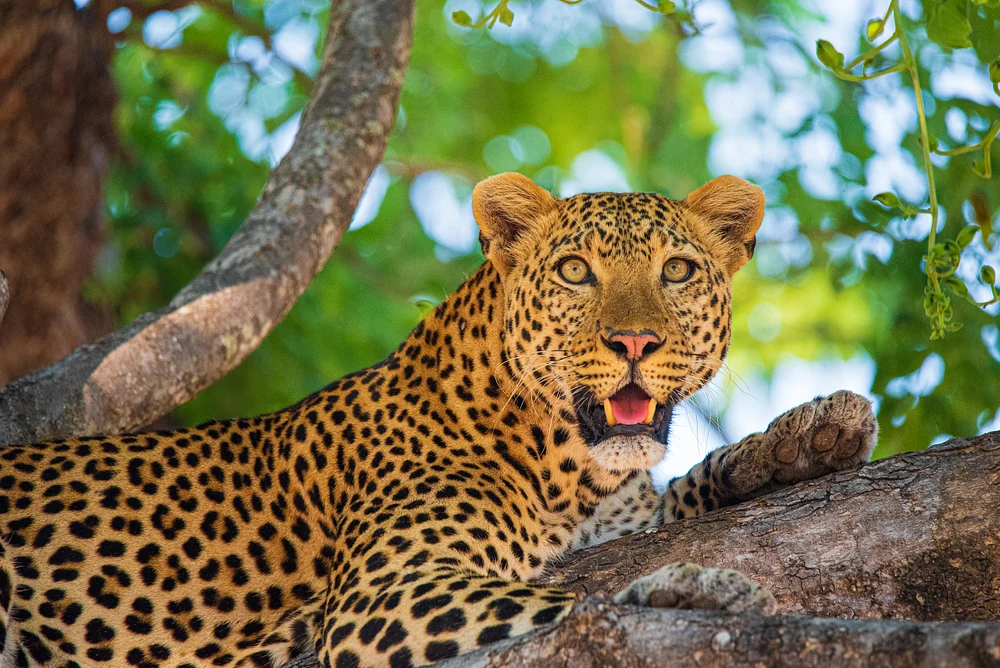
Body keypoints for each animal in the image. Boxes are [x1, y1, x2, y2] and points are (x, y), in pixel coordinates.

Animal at [0, 172, 877, 668]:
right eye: (574, 271)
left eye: (678, 271)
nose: (635, 341)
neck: (570, 470)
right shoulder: (385, 594)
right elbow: (572, 606)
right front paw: (699, 593)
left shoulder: (618, 518)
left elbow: (685, 490)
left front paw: (805, 438)